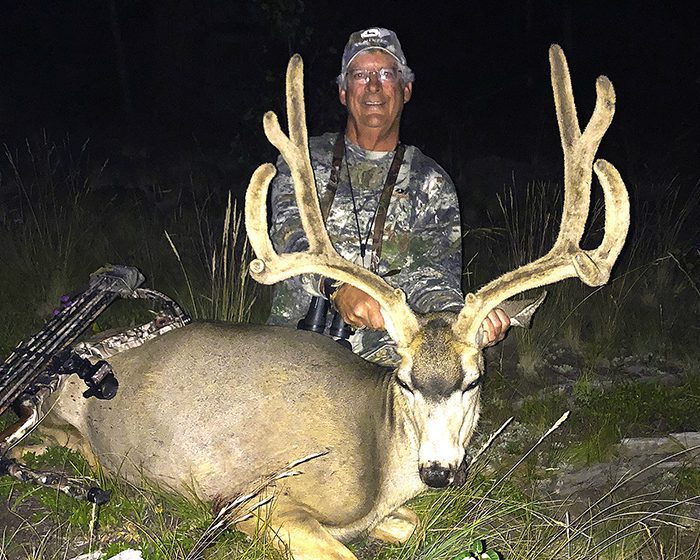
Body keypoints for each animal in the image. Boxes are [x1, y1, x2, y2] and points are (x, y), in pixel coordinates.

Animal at [20, 44, 628, 560]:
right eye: (405, 380)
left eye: (473, 381)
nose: (436, 471)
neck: (377, 460)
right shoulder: (257, 498)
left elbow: (413, 525)